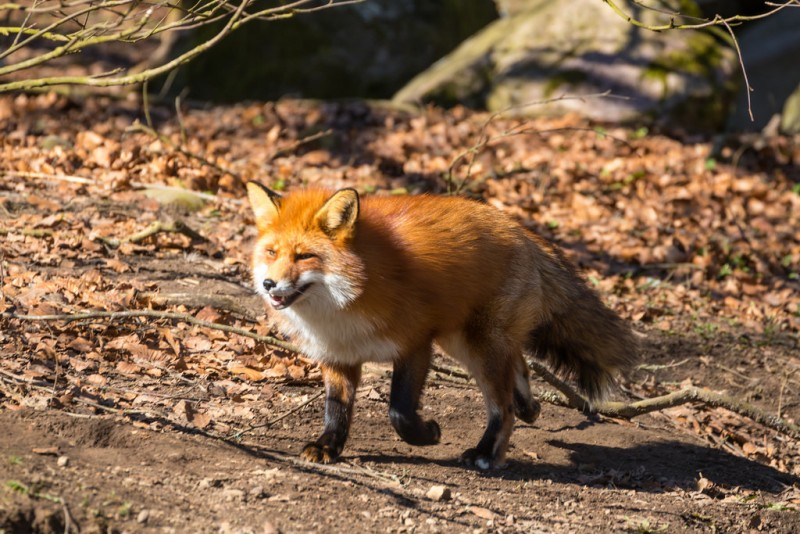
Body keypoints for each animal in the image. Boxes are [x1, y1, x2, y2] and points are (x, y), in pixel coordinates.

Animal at [246, 182, 638, 469]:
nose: (269, 284)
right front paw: (329, 446)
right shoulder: (337, 355)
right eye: (272, 252)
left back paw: (487, 453)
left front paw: (428, 434)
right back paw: (529, 406)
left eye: (304, 256)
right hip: (462, 340)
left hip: (478, 346)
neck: (342, 307)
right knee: (520, 368)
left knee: (503, 407)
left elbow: (399, 411)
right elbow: (336, 409)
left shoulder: (416, 342)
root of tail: (519, 228)